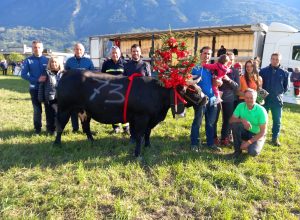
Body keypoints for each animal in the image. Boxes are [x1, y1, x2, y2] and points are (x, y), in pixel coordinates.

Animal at [54, 69, 206, 157]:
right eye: (191, 88)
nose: (205, 98)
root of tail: (68, 72)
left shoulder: (150, 119)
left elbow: (147, 133)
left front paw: (148, 146)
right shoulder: (141, 117)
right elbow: (139, 136)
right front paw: (137, 154)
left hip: (85, 110)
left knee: (86, 125)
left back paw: (92, 141)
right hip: (64, 108)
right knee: (60, 125)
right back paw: (57, 144)